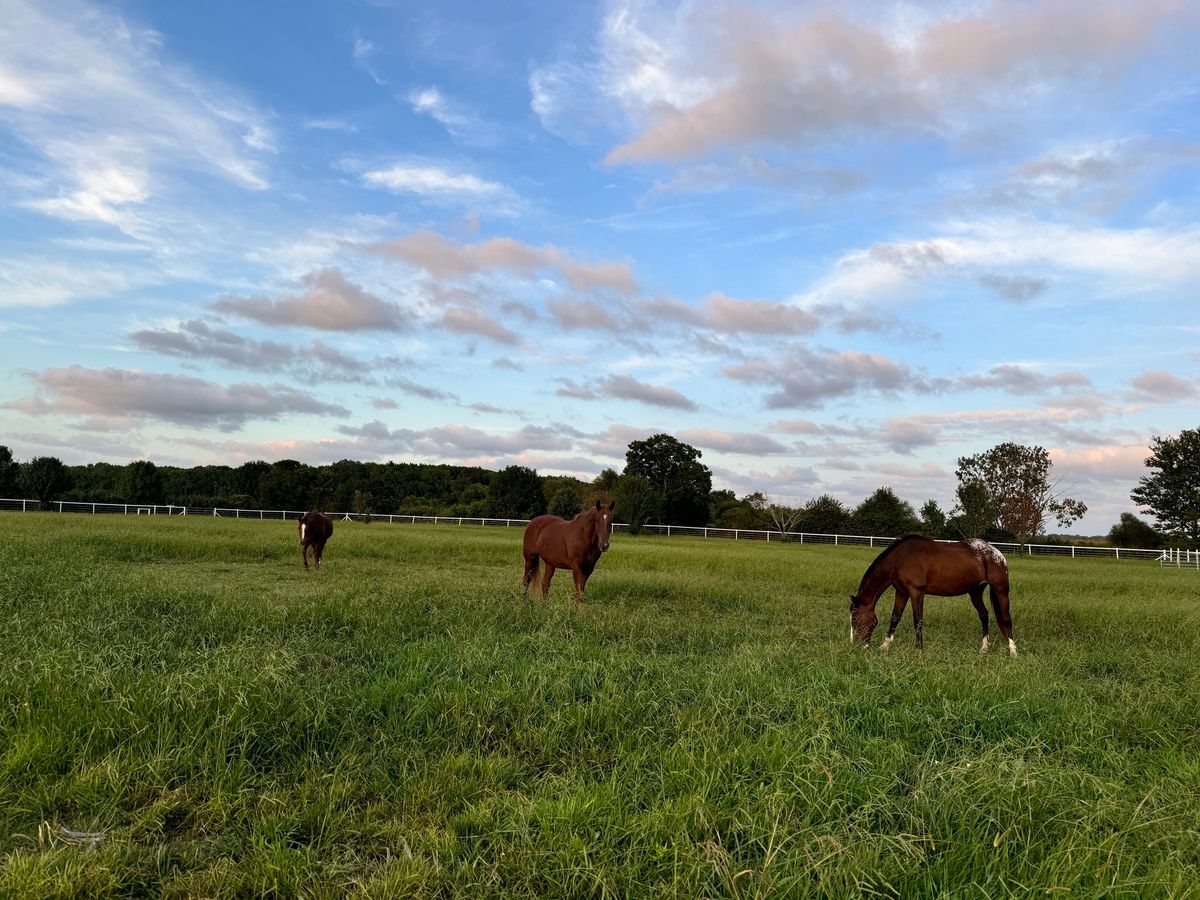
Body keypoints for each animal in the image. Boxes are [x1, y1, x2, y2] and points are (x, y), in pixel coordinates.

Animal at [849, 535, 1017, 657]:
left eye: (855, 617)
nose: (856, 645)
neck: (900, 559)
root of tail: (996, 552)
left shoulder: (916, 592)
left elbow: (918, 621)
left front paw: (918, 650)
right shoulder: (902, 592)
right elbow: (895, 618)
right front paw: (884, 646)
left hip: (1001, 590)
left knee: (1006, 619)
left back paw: (1013, 651)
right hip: (975, 592)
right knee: (984, 615)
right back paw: (984, 648)